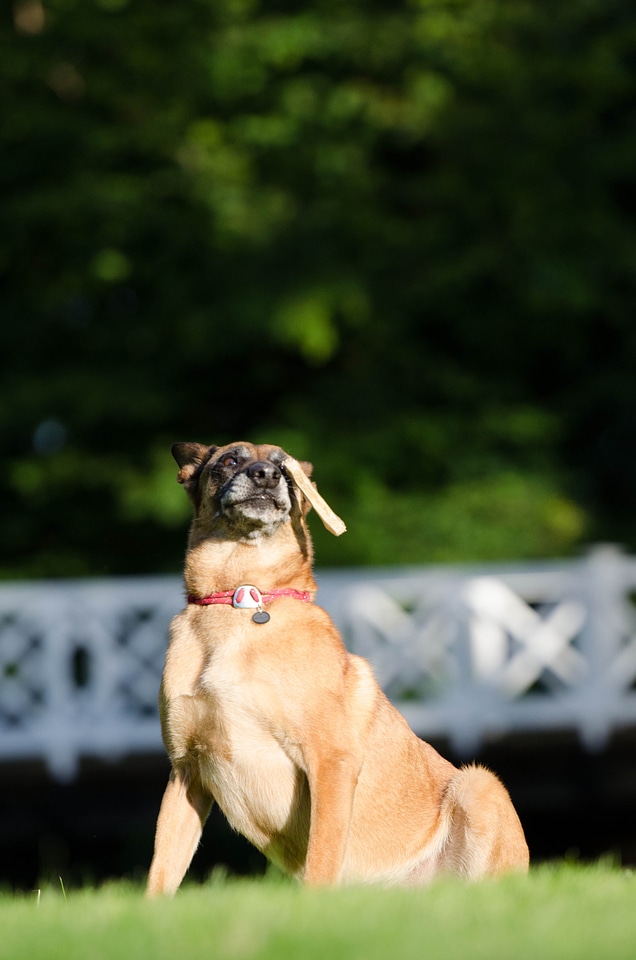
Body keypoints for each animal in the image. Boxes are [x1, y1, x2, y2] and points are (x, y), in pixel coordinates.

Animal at [147, 440, 528, 892]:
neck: (243, 598)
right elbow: (162, 870)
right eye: (229, 460)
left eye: (284, 469)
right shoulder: (185, 772)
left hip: (479, 784)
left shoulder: (330, 760)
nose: (265, 476)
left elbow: (323, 856)